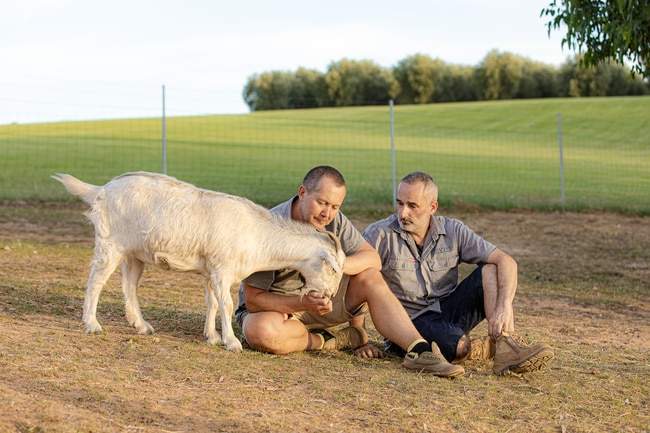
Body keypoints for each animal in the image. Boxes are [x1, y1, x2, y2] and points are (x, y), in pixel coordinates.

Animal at [52, 171, 344, 352]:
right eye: (332, 270)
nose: (330, 295)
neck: (257, 234)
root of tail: (101, 190)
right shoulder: (222, 268)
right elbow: (226, 304)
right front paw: (231, 342)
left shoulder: (211, 271)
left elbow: (212, 302)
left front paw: (212, 337)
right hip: (110, 242)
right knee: (96, 280)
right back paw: (92, 324)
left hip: (135, 252)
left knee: (129, 286)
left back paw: (142, 326)